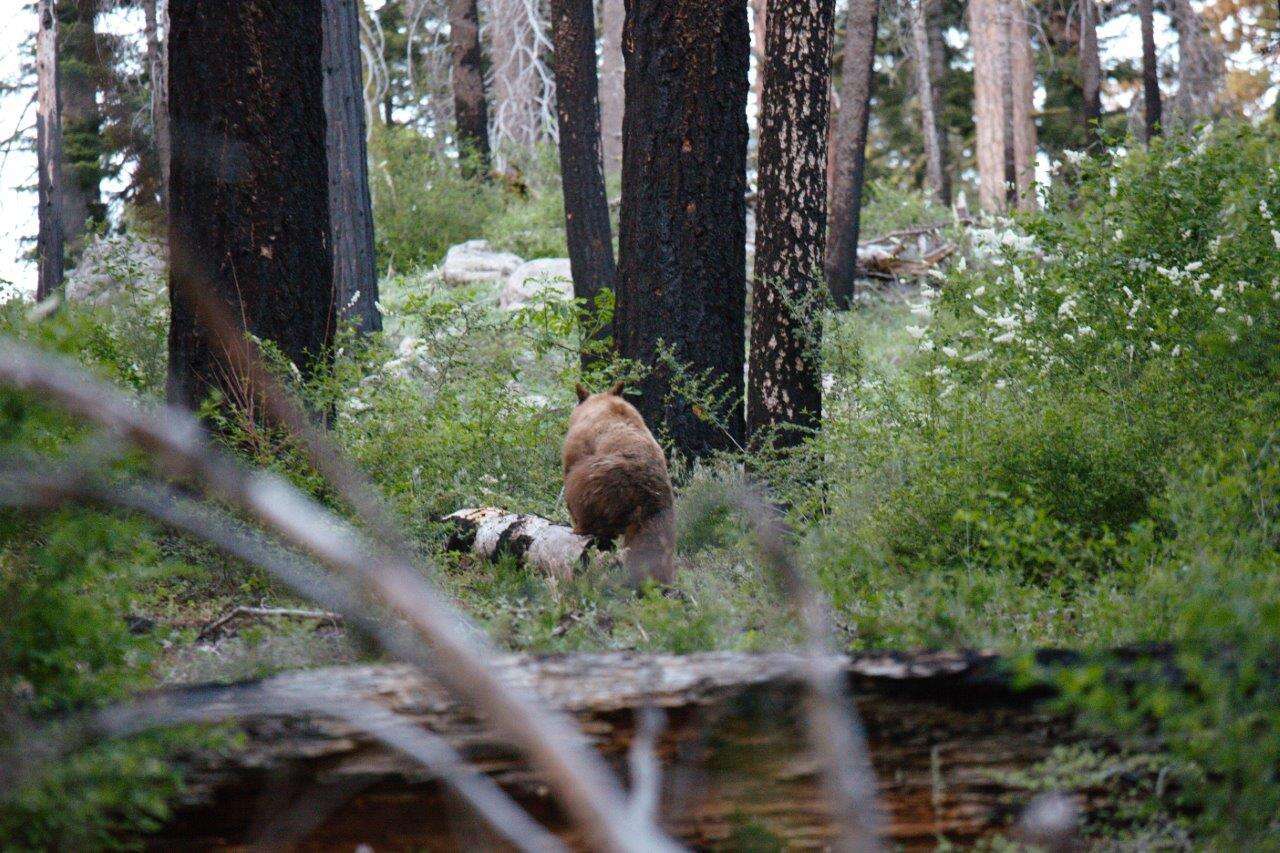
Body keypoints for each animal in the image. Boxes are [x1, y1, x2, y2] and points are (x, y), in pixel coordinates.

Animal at [563, 381, 680, 581]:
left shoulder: (579, 444)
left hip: (600, 486)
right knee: (655, 551)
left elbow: (570, 466)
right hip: (660, 519)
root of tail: (643, 497)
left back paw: (580, 527)